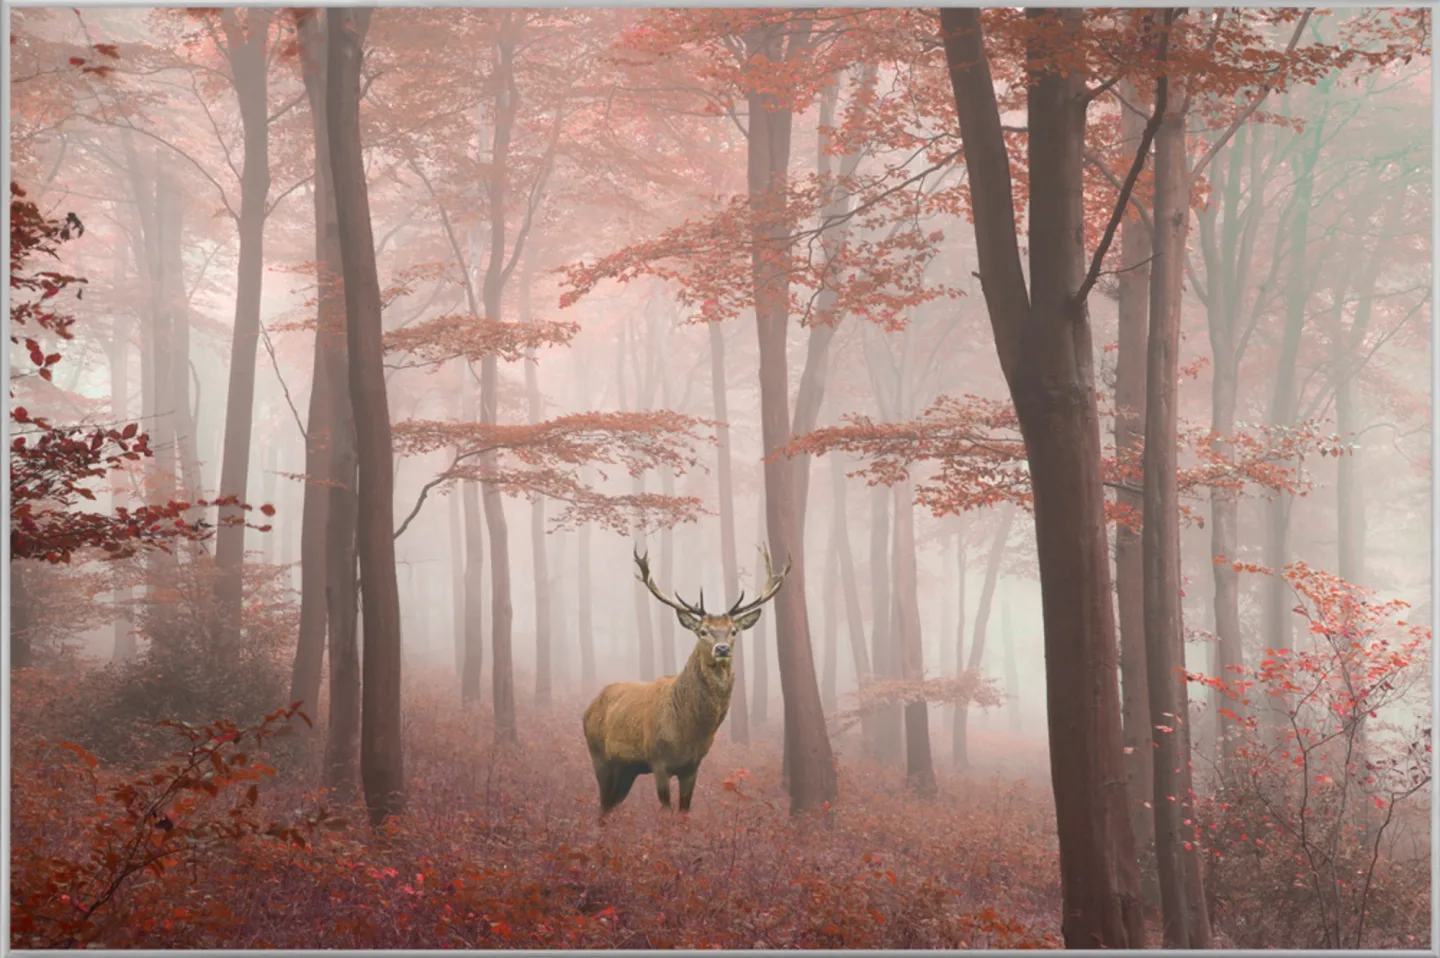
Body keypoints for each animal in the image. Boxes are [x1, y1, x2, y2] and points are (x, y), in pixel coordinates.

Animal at [582, 546, 790, 817]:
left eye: (733, 631)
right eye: (703, 631)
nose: (722, 649)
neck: (687, 730)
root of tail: (589, 707)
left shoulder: (692, 766)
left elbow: (684, 813)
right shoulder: (658, 759)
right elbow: (665, 811)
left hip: (627, 769)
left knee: (610, 805)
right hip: (599, 755)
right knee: (602, 805)